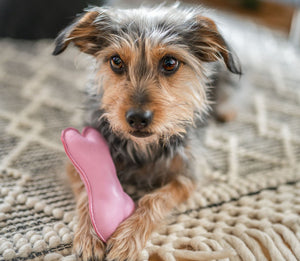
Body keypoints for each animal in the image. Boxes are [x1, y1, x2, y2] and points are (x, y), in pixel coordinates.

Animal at [53, 4, 241, 260]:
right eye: (116, 61)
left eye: (170, 62)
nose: (137, 119)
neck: (143, 148)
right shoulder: (73, 164)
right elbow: (87, 188)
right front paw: (90, 234)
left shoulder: (188, 175)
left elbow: (155, 200)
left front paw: (127, 239)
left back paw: (227, 111)